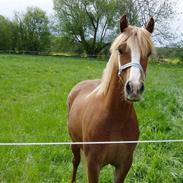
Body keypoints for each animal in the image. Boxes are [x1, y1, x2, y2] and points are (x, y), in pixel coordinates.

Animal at [67, 16, 154, 183]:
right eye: (120, 50)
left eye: (148, 53)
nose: (134, 88)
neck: (115, 118)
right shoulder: (93, 165)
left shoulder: (124, 164)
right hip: (74, 143)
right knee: (75, 162)